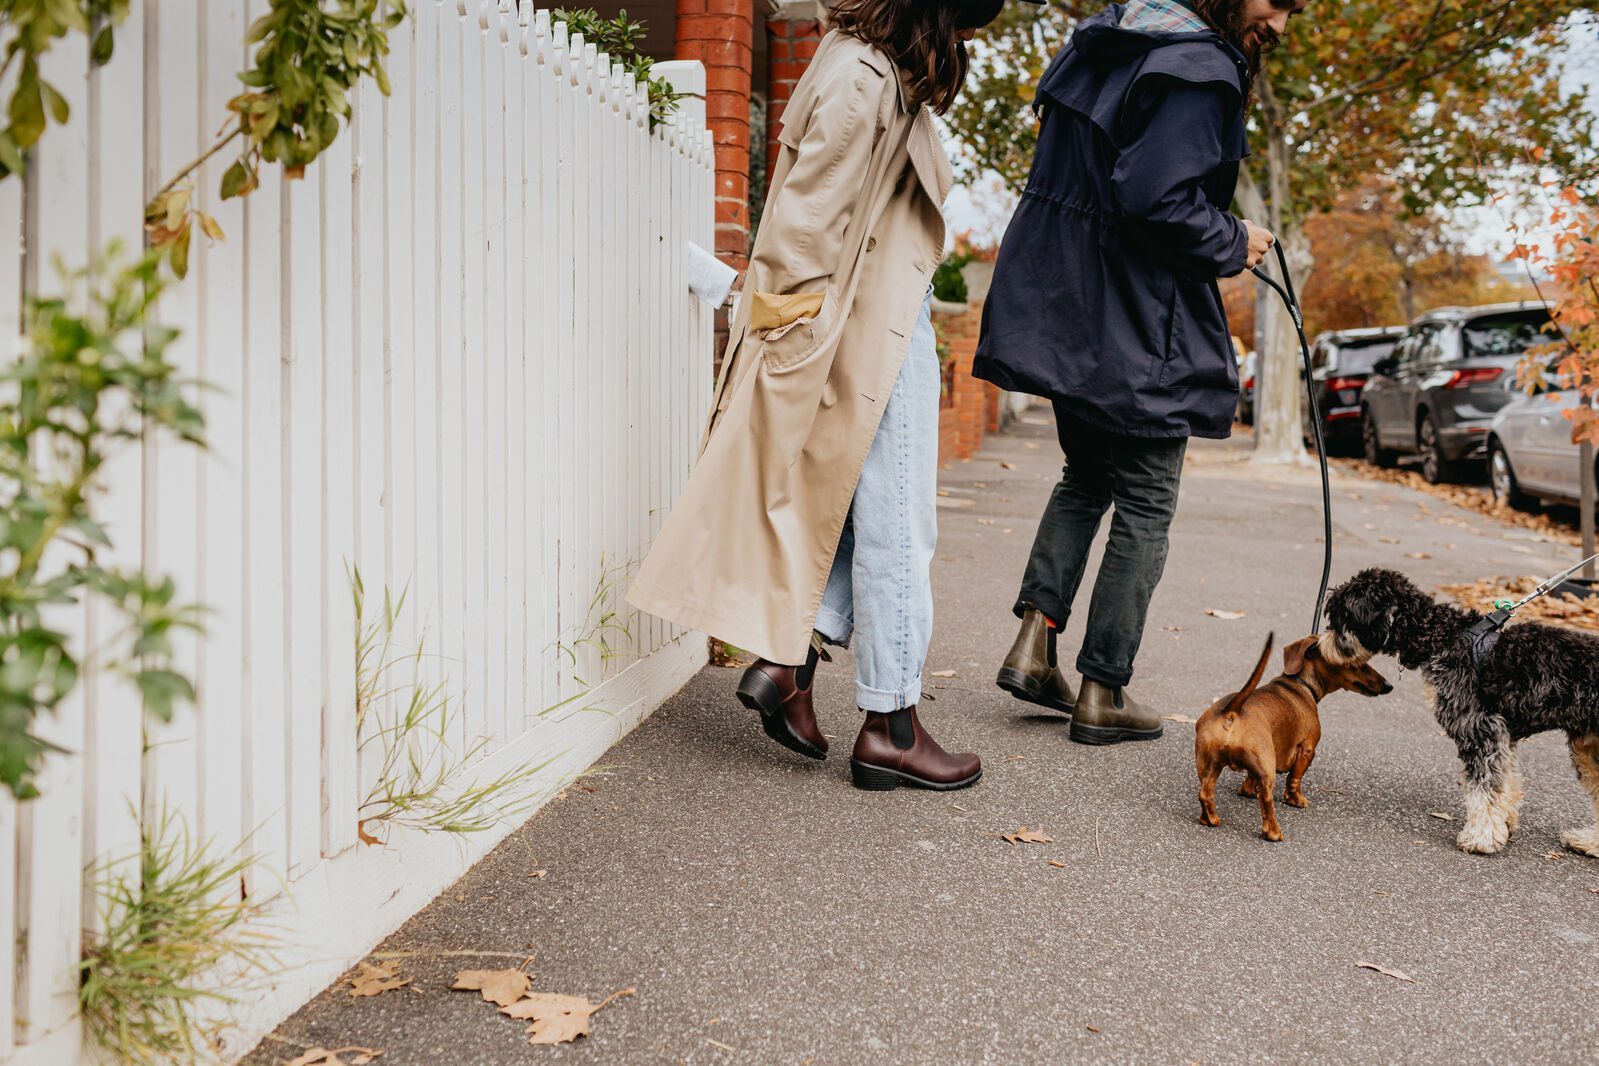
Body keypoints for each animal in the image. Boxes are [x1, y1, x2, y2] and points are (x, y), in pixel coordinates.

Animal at [1317, 565, 1599, 856]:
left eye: (1338, 618)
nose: (1320, 644)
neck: (1441, 637)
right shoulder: (1501, 736)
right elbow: (1505, 782)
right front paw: (1504, 823)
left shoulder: (1480, 730)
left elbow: (1482, 790)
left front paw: (1481, 838)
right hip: (1589, 747)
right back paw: (1589, 842)